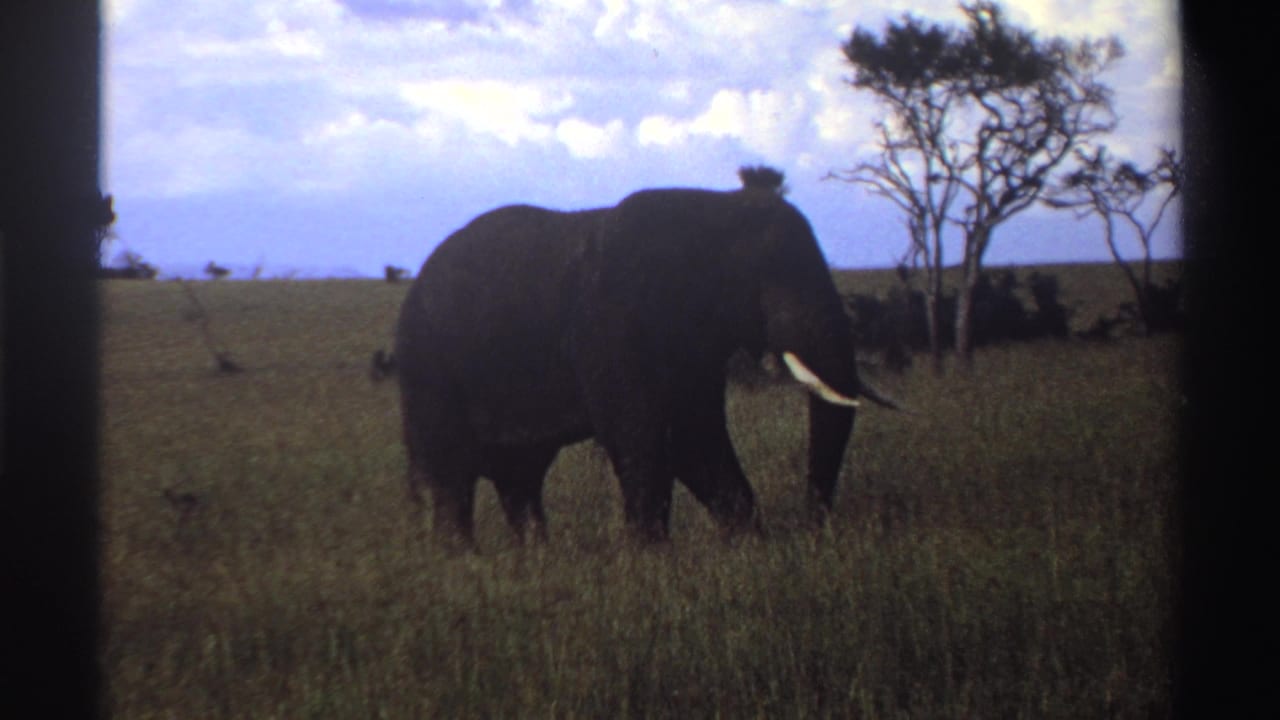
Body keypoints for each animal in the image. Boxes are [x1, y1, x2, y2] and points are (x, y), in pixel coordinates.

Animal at [395, 186, 897, 546]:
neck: (714, 210)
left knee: (519, 478)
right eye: (769, 276)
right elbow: (643, 436)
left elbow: (694, 439)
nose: (816, 527)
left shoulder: (691, 346)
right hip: (428, 368)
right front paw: (650, 562)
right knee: (449, 477)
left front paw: (751, 548)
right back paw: (461, 563)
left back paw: (534, 558)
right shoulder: (611, 325)